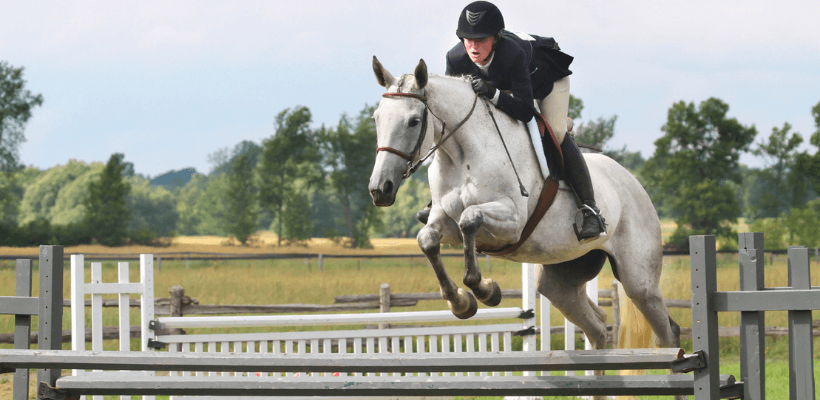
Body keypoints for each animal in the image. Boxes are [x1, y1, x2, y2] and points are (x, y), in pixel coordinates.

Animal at [366, 57, 680, 354]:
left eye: (413, 121)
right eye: (376, 119)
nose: (380, 189)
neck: (462, 154)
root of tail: (633, 182)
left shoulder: (513, 222)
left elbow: (470, 218)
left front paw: (486, 290)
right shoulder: (445, 220)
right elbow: (428, 239)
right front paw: (461, 303)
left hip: (640, 281)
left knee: (665, 331)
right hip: (560, 280)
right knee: (597, 326)